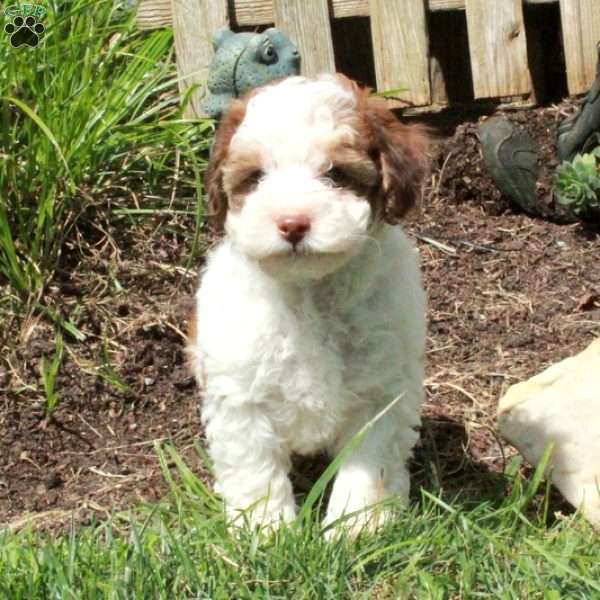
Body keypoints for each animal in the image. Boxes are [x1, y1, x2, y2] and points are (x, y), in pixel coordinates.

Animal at [188, 74, 426, 536]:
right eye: (256, 177)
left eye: (336, 174)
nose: (293, 223)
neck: (309, 292)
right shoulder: (241, 396)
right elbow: (254, 468)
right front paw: (265, 531)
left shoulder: (381, 394)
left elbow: (367, 466)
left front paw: (356, 528)